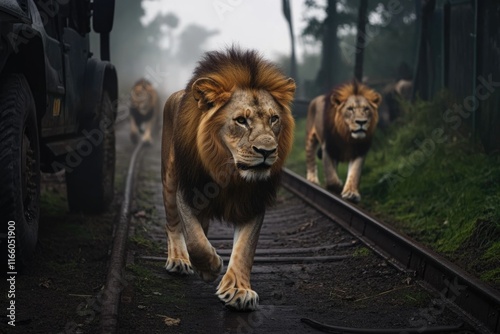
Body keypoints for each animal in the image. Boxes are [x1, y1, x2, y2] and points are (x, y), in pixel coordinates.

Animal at [160, 47, 294, 310]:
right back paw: (179, 260)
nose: (267, 151)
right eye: (241, 120)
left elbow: (245, 248)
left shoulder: (253, 201)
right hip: (169, 180)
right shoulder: (187, 189)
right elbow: (194, 239)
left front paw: (238, 290)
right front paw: (210, 267)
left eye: (274, 119)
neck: (230, 173)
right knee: (173, 225)